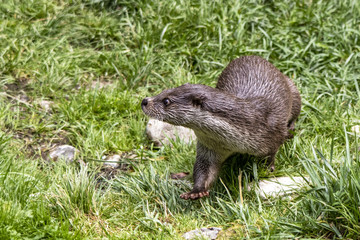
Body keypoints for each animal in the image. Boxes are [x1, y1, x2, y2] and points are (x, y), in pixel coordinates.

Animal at [141, 56, 300, 201]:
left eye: (166, 101)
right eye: (163, 91)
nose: (144, 101)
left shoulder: (273, 134)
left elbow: (271, 154)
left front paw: (268, 169)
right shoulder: (209, 148)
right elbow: (204, 170)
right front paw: (196, 191)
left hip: (293, 89)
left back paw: (291, 130)